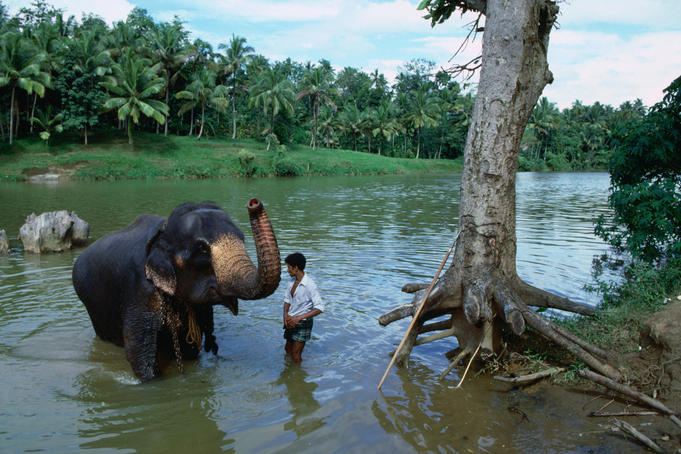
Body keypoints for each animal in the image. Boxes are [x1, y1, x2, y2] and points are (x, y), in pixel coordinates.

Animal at [72, 198, 280, 381]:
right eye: (202, 249)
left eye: (243, 238)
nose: (254, 203)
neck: (164, 231)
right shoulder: (139, 289)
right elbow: (139, 354)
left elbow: (190, 349)